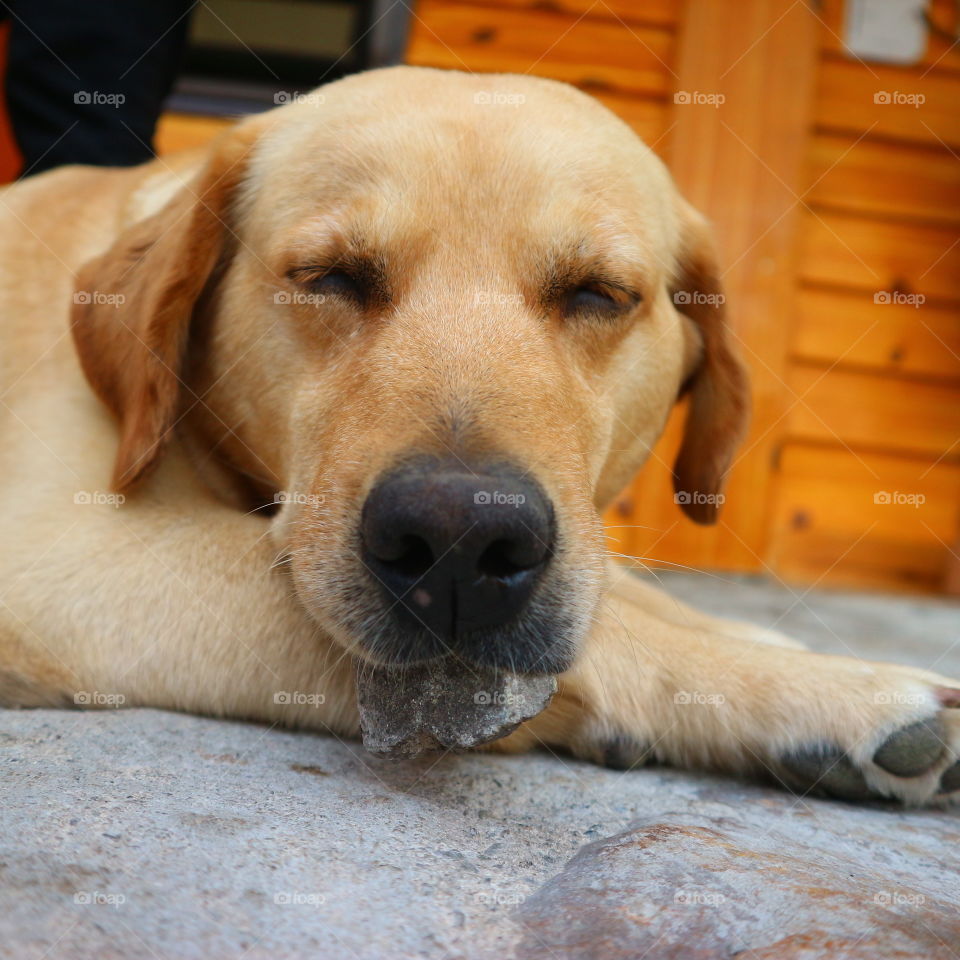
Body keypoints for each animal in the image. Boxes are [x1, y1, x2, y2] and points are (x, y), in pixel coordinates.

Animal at [0, 65, 956, 804]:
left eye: (598, 293)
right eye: (330, 277)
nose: (460, 538)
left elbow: (625, 590)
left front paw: (769, 644)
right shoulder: (67, 554)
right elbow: (611, 632)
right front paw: (828, 692)